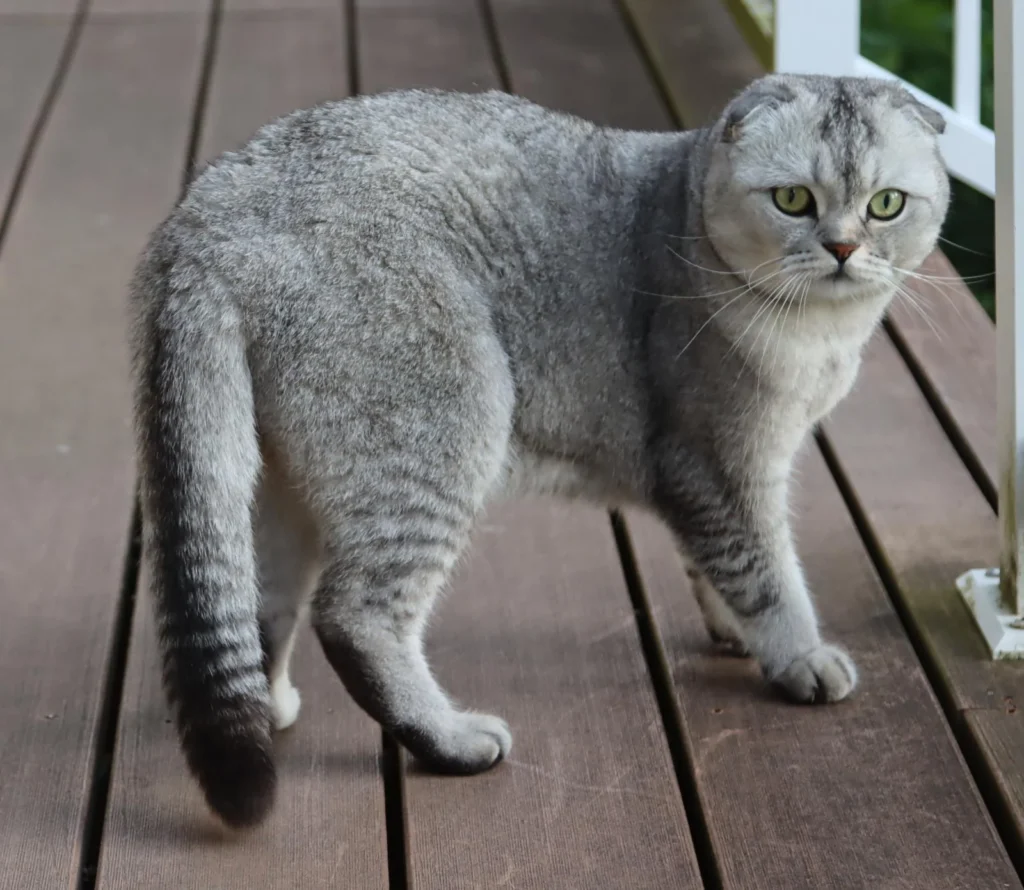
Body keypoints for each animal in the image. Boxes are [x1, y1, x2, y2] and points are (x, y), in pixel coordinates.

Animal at [128, 71, 950, 827]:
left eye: (885, 205)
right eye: (792, 201)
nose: (843, 248)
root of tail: (207, 218)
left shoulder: (722, 477)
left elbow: (720, 563)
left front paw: (735, 631)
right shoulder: (721, 462)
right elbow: (767, 572)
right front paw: (798, 656)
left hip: (274, 481)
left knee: (257, 600)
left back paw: (268, 703)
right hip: (444, 431)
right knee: (354, 618)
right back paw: (449, 739)